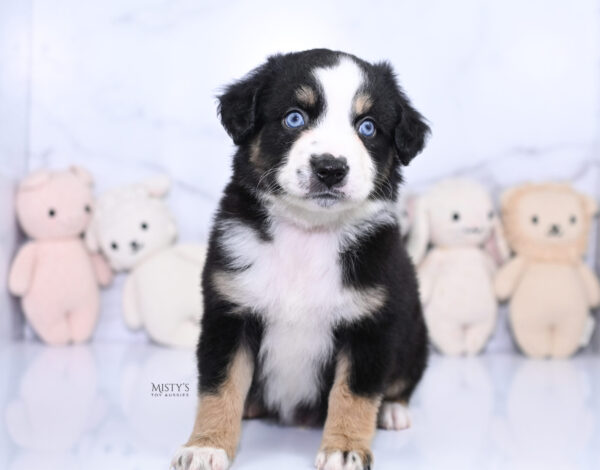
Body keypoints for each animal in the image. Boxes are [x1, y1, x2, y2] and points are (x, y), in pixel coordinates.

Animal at [171, 48, 428, 470]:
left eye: (368, 127)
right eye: (295, 118)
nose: (330, 168)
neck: (308, 234)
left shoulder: (371, 323)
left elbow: (354, 394)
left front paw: (344, 448)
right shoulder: (229, 312)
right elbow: (220, 385)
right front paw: (207, 445)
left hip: (415, 335)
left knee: (401, 380)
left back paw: (393, 410)